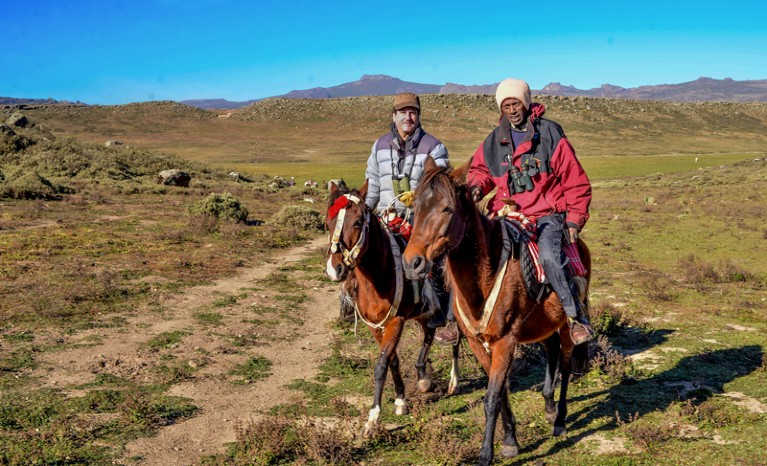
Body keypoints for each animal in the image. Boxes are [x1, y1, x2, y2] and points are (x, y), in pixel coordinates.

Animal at [326, 179, 460, 436]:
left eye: (358, 222)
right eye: (327, 223)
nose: (334, 269)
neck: (378, 276)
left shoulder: (396, 321)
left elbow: (381, 365)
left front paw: (372, 419)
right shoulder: (376, 326)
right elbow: (393, 360)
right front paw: (400, 400)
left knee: (457, 341)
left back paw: (454, 381)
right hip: (423, 313)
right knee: (429, 334)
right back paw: (423, 377)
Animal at [402, 157, 592, 466]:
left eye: (447, 208)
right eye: (415, 206)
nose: (412, 263)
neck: (485, 278)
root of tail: (579, 244)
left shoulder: (505, 342)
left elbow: (491, 397)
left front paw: (486, 454)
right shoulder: (477, 342)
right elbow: (500, 391)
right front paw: (510, 440)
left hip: (565, 324)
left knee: (564, 363)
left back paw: (560, 420)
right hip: (542, 325)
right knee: (551, 352)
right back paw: (549, 405)